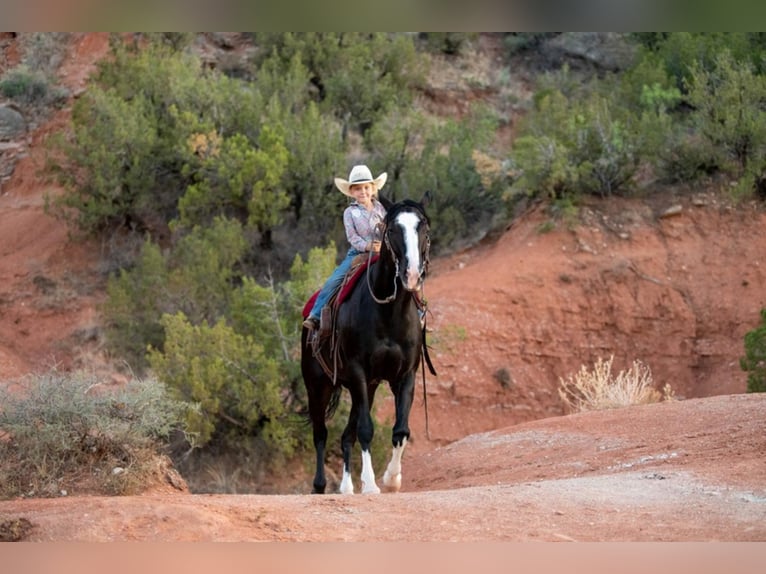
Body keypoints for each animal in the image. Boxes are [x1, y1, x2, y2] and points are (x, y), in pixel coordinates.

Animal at [302, 192, 436, 496]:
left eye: (423, 227)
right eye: (392, 229)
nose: (411, 274)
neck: (389, 312)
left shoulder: (404, 376)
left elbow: (400, 431)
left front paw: (392, 479)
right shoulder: (358, 373)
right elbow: (366, 429)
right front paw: (372, 484)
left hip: (368, 388)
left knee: (345, 436)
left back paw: (346, 488)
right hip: (318, 385)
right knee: (320, 434)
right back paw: (320, 485)